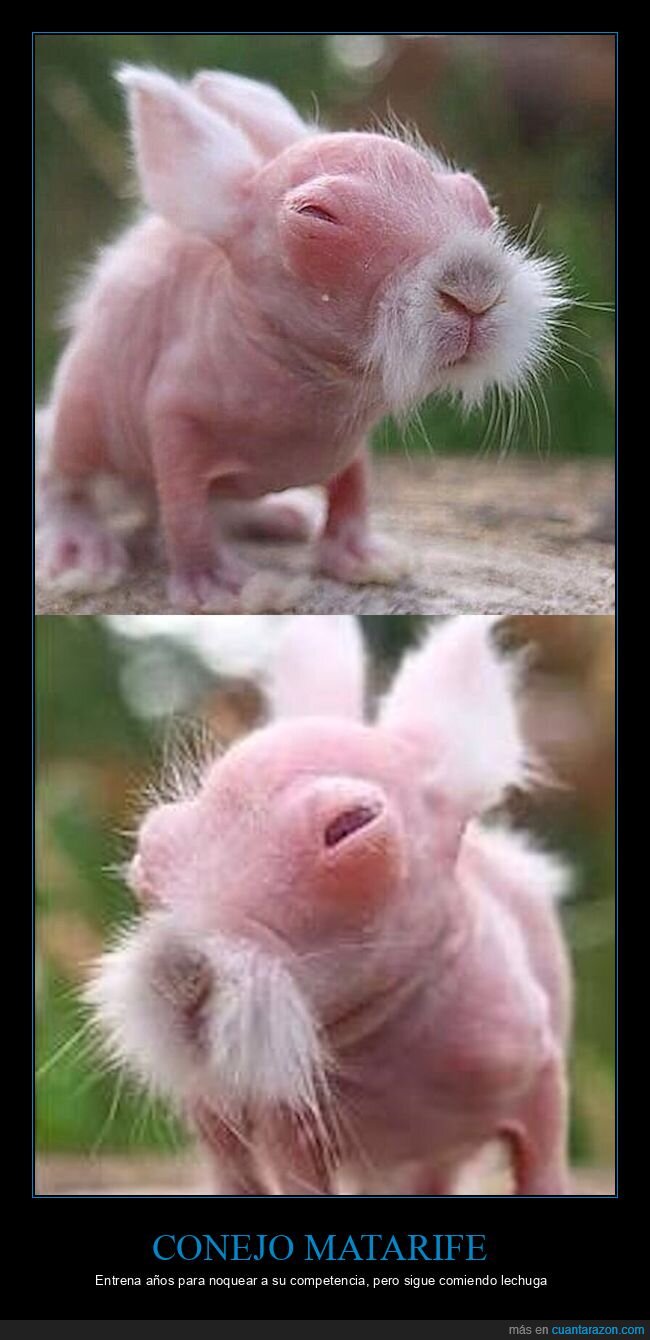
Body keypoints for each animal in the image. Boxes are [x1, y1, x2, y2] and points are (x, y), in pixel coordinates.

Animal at [36, 66, 565, 610]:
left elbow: (354, 492)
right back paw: (78, 557)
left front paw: (368, 561)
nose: (476, 291)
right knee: (65, 479)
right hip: (80, 418)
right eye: (316, 215)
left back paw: (285, 514)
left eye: (476, 197)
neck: (307, 375)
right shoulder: (172, 419)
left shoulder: (351, 445)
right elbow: (186, 513)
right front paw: (229, 592)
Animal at [87, 615, 573, 1195]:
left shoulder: (542, 1081)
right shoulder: (286, 1123)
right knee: (231, 1164)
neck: (391, 1042)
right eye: (151, 854)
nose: (177, 974)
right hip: (214, 1110)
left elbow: (545, 1171)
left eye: (349, 827)